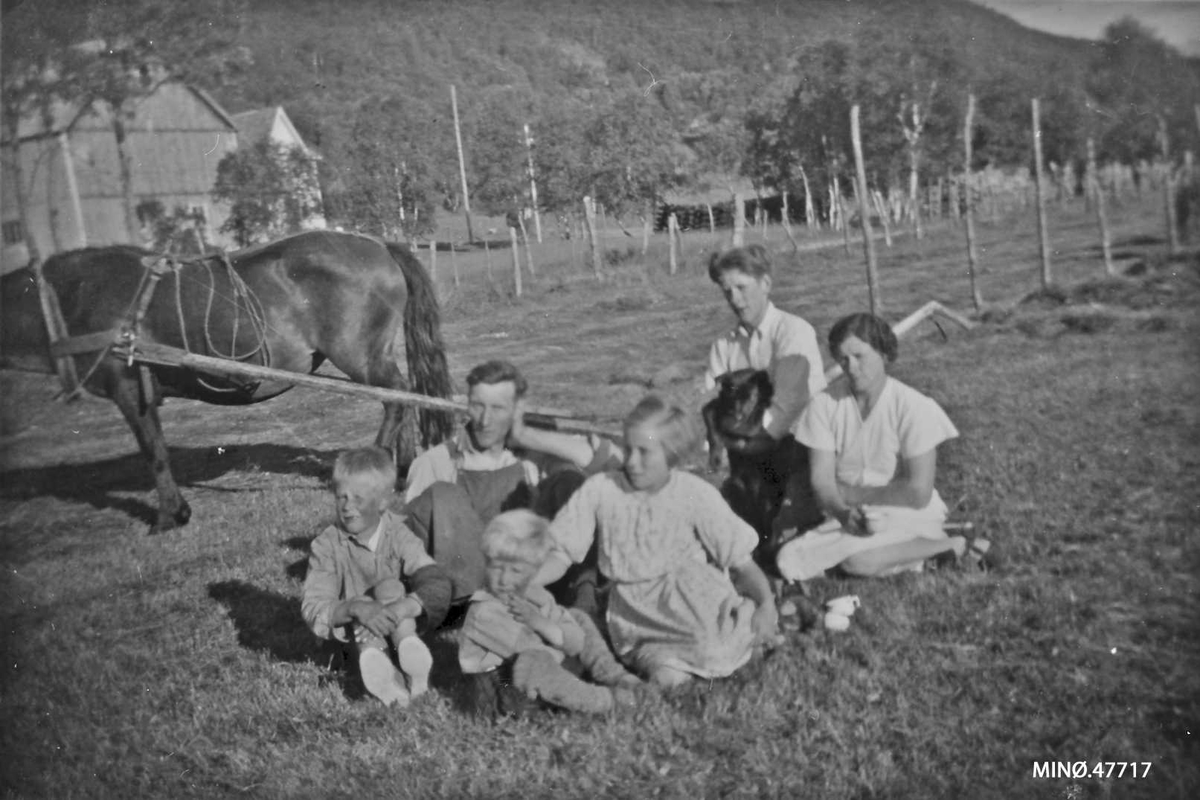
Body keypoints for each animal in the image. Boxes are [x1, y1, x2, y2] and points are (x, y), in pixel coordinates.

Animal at [0, 230, 453, 532]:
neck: (74, 296)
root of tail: (381, 246)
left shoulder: (127, 386)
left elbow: (153, 450)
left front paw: (170, 514)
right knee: (405, 397)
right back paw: (400, 466)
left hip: (359, 356)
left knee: (395, 397)